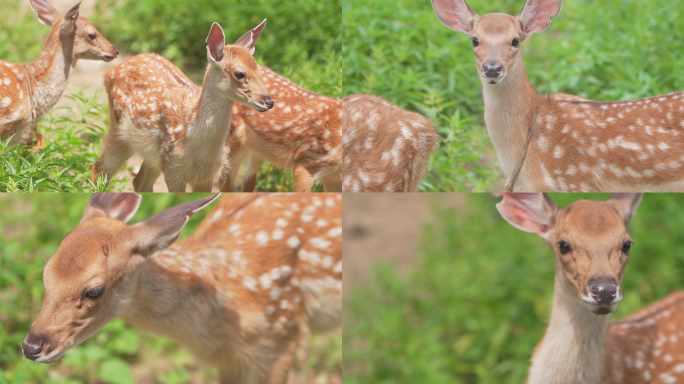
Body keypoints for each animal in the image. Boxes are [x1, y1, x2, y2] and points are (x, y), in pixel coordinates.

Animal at [92, 21, 274, 192]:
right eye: (239, 74)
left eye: (259, 70)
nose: (269, 101)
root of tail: (111, 71)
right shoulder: (172, 168)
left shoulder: (206, 175)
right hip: (120, 131)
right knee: (99, 168)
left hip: (154, 156)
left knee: (139, 181)